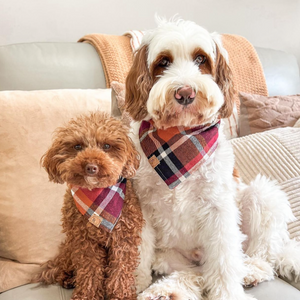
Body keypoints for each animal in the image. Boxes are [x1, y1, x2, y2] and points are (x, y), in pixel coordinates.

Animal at [36, 112, 144, 300]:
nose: (91, 167)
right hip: (69, 246)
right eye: (77, 146)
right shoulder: (83, 241)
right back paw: (67, 278)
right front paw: (87, 295)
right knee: (63, 265)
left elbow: (120, 271)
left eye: (107, 146)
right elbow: (90, 270)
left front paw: (120, 295)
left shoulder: (123, 240)